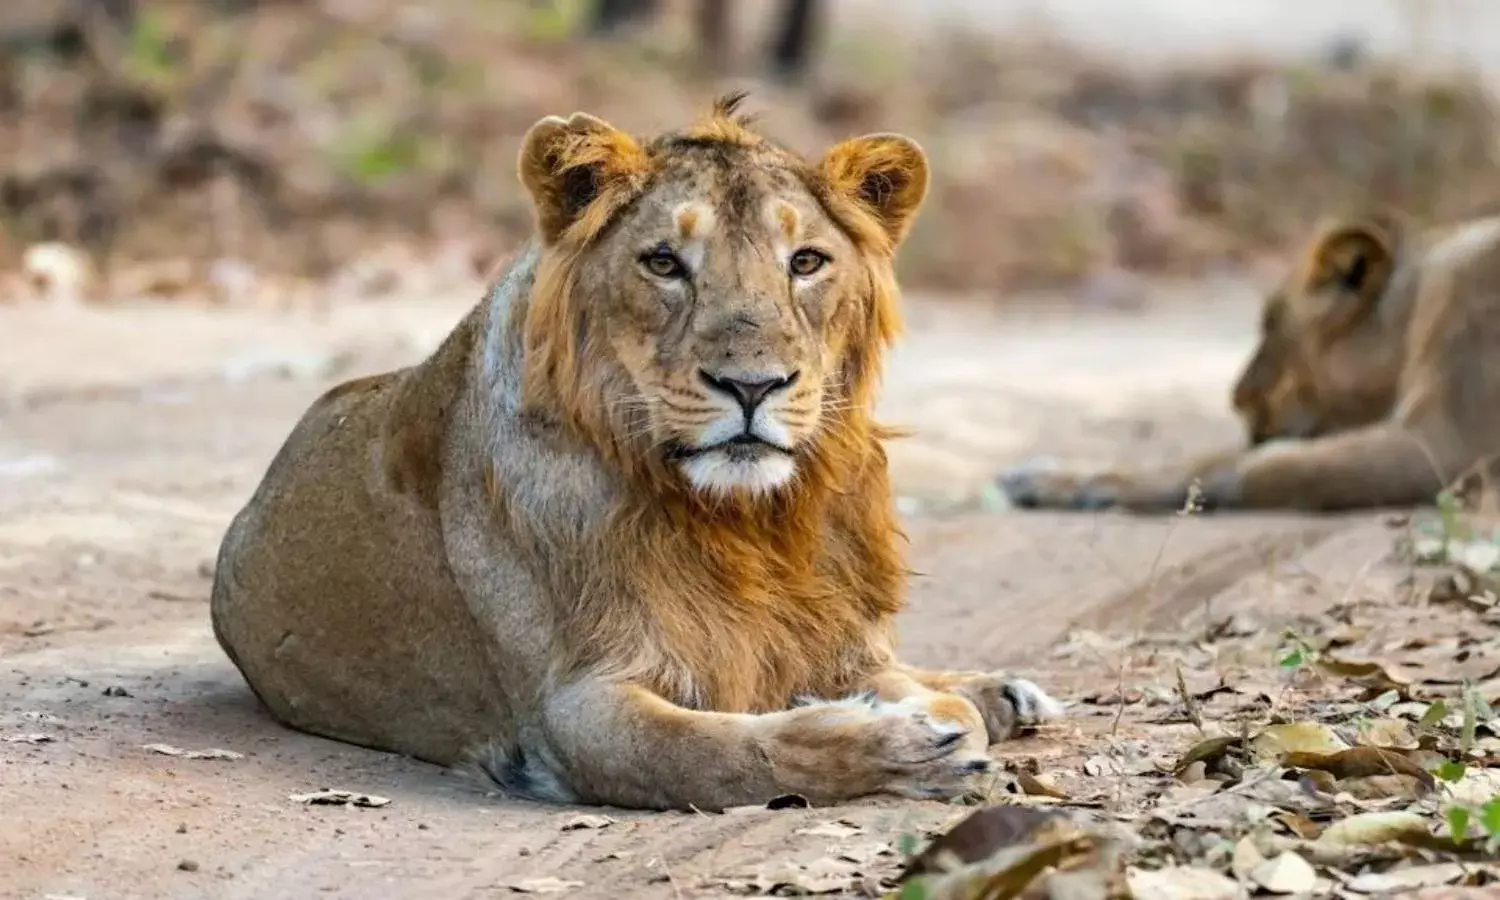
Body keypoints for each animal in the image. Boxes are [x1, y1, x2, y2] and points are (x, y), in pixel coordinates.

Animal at [210, 94, 1063, 811]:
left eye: (806, 262)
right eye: (663, 262)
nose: (752, 385)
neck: (744, 521)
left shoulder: (830, 639)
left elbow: (883, 682)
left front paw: (946, 707)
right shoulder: (573, 712)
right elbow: (722, 755)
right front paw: (902, 744)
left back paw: (1003, 693)